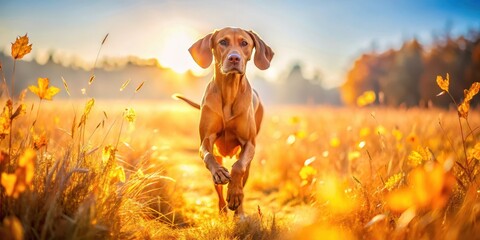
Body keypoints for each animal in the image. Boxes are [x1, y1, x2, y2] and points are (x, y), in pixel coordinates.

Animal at [175, 27, 274, 217]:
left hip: (248, 164)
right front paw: (220, 174)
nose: (234, 58)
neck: (229, 89)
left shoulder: (249, 144)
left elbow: (238, 167)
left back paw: (239, 212)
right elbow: (207, 155)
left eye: (244, 43)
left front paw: (234, 195)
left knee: (242, 177)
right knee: (218, 190)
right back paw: (222, 211)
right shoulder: (206, 140)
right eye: (223, 42)